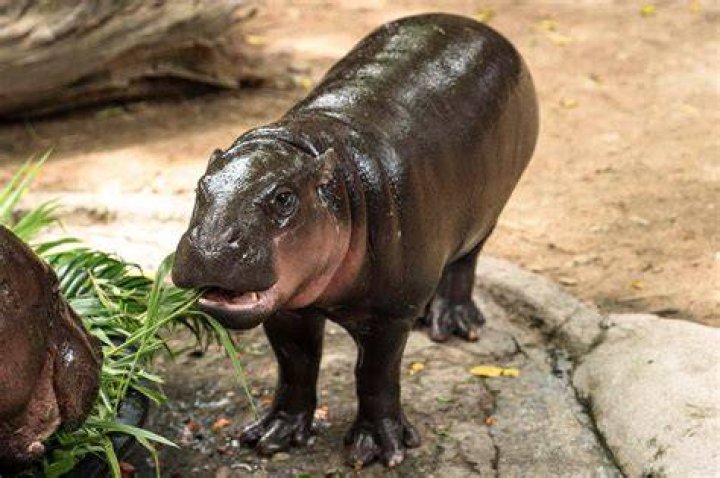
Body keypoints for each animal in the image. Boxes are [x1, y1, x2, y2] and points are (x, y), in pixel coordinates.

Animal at [173, 13, 538, 468]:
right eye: (200, 186)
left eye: (284, 198)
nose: (210, 244)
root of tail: (476, 24)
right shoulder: (286, 309)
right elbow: (295, 364)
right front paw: (274, 435)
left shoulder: (389, 315)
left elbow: (375, 375)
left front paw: (379, 450)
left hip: (488, 214)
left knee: (464, 262)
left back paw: (452, 324)